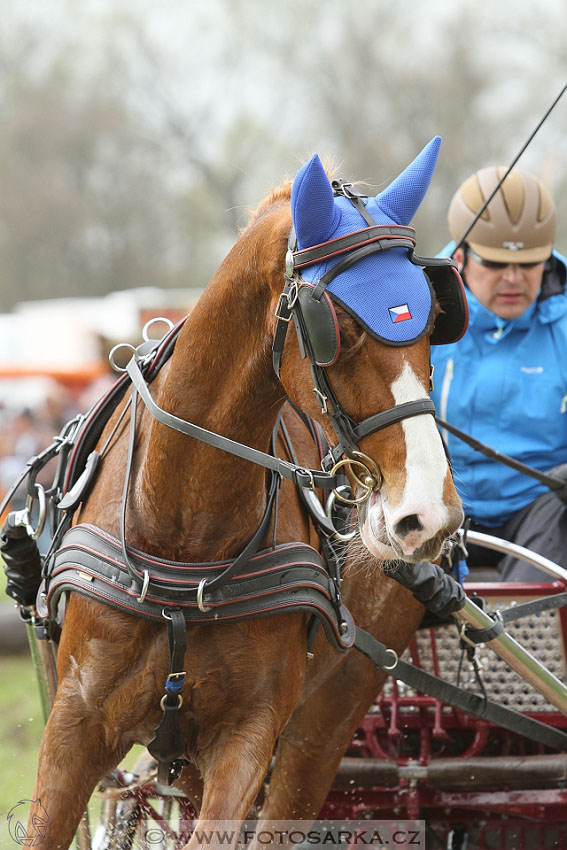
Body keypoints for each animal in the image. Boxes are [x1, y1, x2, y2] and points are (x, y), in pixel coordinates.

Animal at [31, 136, 464, 844]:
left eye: (435, 319)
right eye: (337, 326)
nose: (428, 515)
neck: (184, 535)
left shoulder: (247, 736)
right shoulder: (77, 723)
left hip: (324, 725)